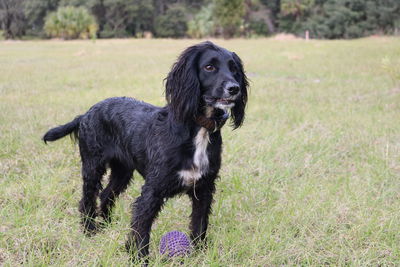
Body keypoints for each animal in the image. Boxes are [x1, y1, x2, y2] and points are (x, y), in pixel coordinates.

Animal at [44, 42, 250, 262]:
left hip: (122, 171)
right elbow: (142, 225)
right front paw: (139, 257)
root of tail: (86, 113)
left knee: (107, 194)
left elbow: (199, 223)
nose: (234, 88)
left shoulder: (204, 187)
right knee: (87, 198)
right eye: (209, 67)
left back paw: (107, 224)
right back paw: (89, 229)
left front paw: (200, 252)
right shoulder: (153, 189)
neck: (197, 128)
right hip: (92, 165)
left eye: (234, 69)